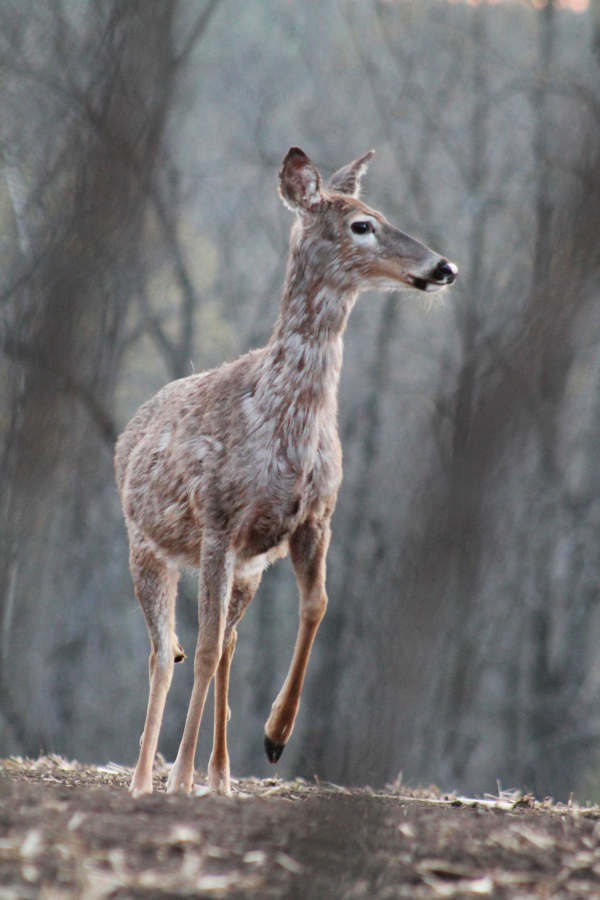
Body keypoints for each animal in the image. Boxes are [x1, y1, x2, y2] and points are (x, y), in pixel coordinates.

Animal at [115, 148, 458, 800]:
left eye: (381, 213)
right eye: (361, 224)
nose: (444, 266)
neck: (286, 421)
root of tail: (129, 431)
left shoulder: (312, 520)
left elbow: (316, 605)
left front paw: (274, 736)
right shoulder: (218, 521)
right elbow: (196, 652)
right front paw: (179, 779)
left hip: (247, 569)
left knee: (226, 644)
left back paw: (221, 776)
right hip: (147, 546)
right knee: (163, 654)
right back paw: (147, 779)